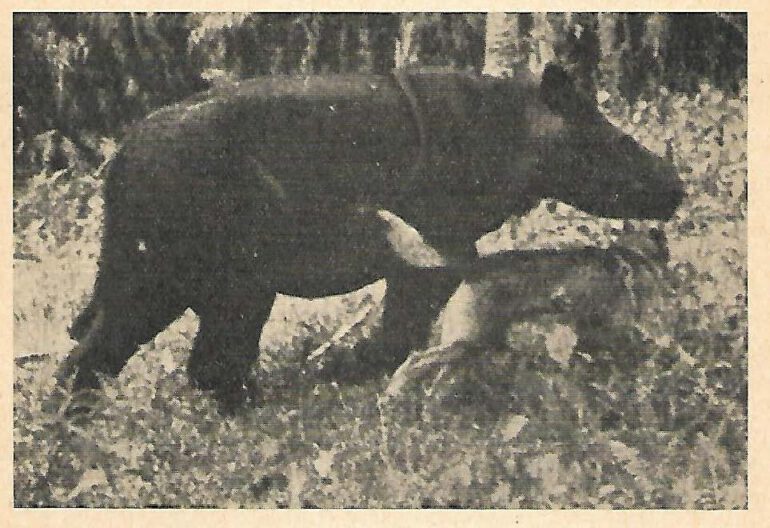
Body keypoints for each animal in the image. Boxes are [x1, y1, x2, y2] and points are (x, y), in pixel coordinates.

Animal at [59, 63, 683, 412]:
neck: (510, 132)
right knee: (124, 359)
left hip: (200, 284)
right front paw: (364, 380)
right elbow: (401, 332)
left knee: (166, 360)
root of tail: (118, 164)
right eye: (606, 138)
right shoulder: (440, 244)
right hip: (184, 279)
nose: (675, 186)